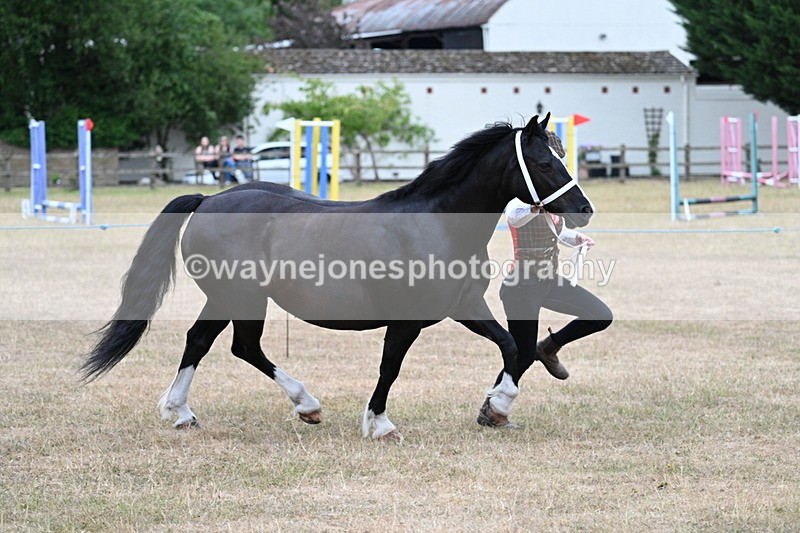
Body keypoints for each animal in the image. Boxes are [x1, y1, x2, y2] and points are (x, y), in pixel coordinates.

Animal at [81, 113, 593, 440]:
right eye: (544, 163)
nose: (584, 210)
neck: (435, 222)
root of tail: (208, 199)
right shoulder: (405, 321)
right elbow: (390, 366)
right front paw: (379, 425)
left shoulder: (463, 307)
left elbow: (512, 347)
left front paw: (497, 408)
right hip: (242, 297)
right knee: (241, 347)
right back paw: (306, 404)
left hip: (229, 298)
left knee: (202, 341)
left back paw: (182, 413)